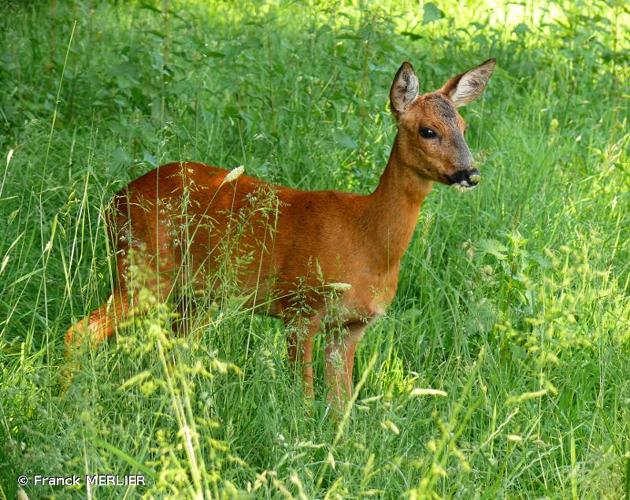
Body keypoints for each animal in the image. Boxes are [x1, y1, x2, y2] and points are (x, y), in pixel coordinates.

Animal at [64, 57, 498, 406]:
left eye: (464, 126)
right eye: (428, 130)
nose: (470, 173)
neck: (367, 241)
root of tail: (114, 200)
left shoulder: (350, 326)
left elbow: (341, 404)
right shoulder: (299, 307)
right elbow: (303, 395)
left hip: (194, 295)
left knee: (175, 353)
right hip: (143, 269)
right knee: (81, 332)